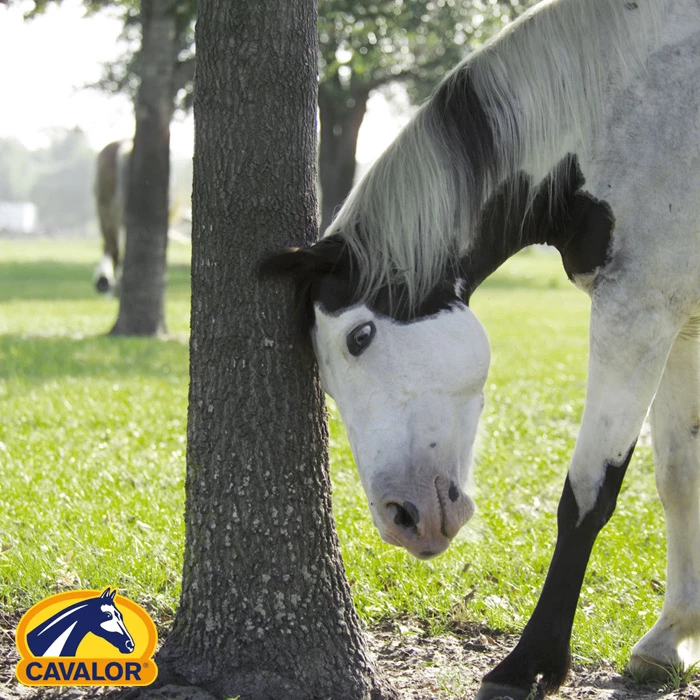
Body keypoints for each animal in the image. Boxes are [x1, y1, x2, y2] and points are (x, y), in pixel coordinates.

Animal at [262, 0, 700, 697]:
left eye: (360, 337)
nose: (401, 517)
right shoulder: (679, 323)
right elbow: (680, 478)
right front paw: (671, 637)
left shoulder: (638, 313)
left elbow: (586, 495)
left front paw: (530, 664)